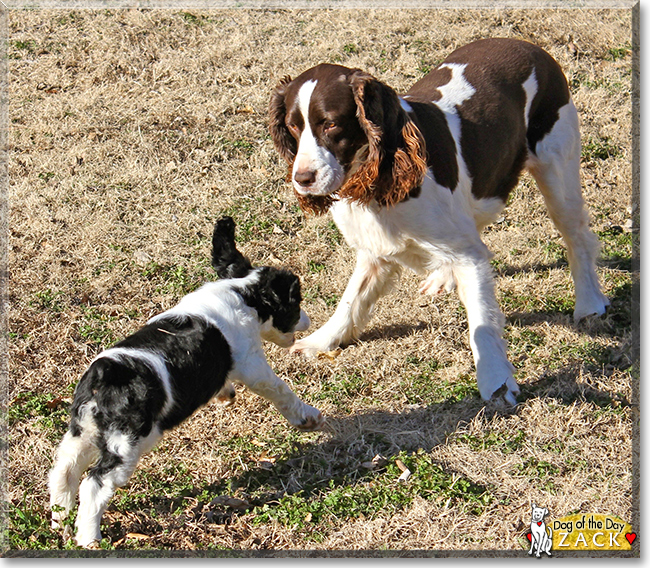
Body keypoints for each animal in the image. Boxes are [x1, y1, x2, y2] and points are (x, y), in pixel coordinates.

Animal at [48, 216, 322, 544]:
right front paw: (309, 417)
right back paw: (89, 538)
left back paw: (61, 525)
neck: (240, 292)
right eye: (296, 302)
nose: (308, 320)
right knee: (94, 485)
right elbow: (280, 390)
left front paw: (225, 393)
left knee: (64, 472)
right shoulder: (252, 363)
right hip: (126, 442)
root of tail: (104, 376)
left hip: (83, 432)